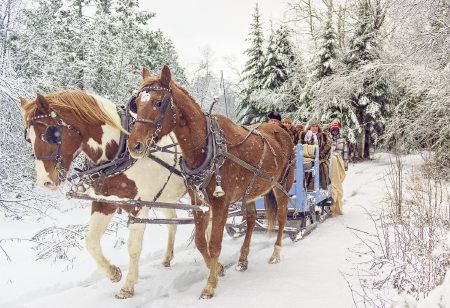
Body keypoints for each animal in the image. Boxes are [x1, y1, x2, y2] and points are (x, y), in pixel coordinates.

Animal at [20, 90, 186, 300]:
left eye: (50, 134)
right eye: (28, 138)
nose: (45, 182)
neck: (119, 153)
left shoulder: (139, 207)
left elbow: (133, 247)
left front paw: (128, 287)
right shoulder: (104, 203)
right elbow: (91, 242)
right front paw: (112, 272)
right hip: (166, 198)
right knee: (174, 223)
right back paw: (167, 258)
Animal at [127, 65, 296, 298]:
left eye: (158, 102)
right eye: (136, 102)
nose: (134, 145)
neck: (207, 148)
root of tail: (282, 129)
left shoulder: (221, 203)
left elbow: (215, 243)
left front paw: (210, 284)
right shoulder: (199, 202)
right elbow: (201, 242)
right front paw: (218, 269)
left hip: (282, 185)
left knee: (281, 218)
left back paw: (276, 253)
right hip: (251, 191)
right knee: (252, 220)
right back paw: (243, 259)